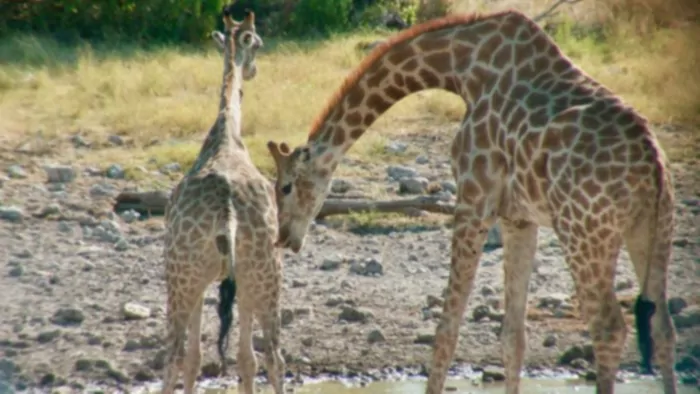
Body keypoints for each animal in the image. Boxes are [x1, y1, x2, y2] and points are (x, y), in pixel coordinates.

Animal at [161, 6, 284, 394]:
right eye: (258, 43)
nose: (254, 70)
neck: (226, 133)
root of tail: (228, 213)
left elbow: (196, 359)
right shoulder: (235, 278)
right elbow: (243, 359)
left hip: (183, 277)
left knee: (174, 355)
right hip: (262, 274)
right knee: (272, 355)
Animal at [266, 8, 676, 394]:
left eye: (285, 186)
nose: (284, 237)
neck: (462, 68)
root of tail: (652, 166)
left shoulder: (473, 199)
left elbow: (447, 329)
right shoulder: (518, 217)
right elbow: (513, 337)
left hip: (584, 233)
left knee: (609, 328)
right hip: (651, 230)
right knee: (662, 326)